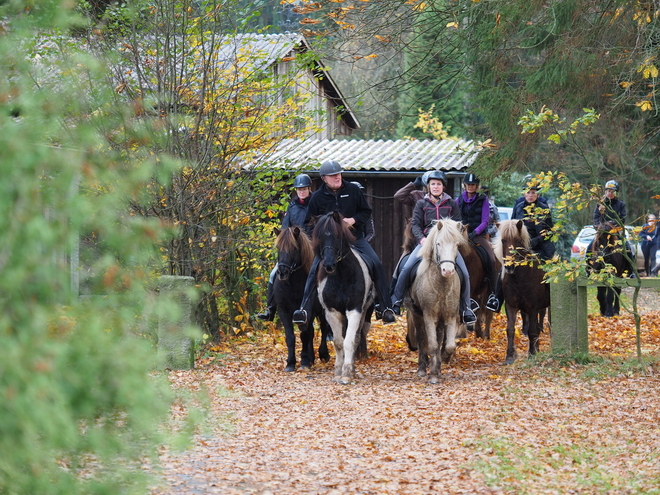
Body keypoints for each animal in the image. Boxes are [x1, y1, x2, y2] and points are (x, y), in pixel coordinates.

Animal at [274, 227, 332, 370]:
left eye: (294, 248)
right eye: (278, 247)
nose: (282, 273)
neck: (292, 285)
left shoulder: (307, 310)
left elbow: (305, 335)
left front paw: (305, 361)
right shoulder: (284, 311)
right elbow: (290, 336)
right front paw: (290, 363)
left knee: (323, 328)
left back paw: (323, 355)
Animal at [312, 211, 374, 386]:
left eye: (337, 235)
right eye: (319, 236)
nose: (329, 265)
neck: (341, 276)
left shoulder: (354, 310)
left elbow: (350, 341)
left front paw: (346, 374)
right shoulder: (332, 312)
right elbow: (339, 342)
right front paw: (338, 372)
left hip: (364, 311)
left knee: (357, 337)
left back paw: (351, 369)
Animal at [500, 220, 552, 364]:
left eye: (518, 241)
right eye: (503, 240)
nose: (509, 267)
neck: (519, 279)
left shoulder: (533, 308)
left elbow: (533, 330)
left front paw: (532, 353)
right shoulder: (511, 306)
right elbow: (510, 329)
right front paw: (510, 356)